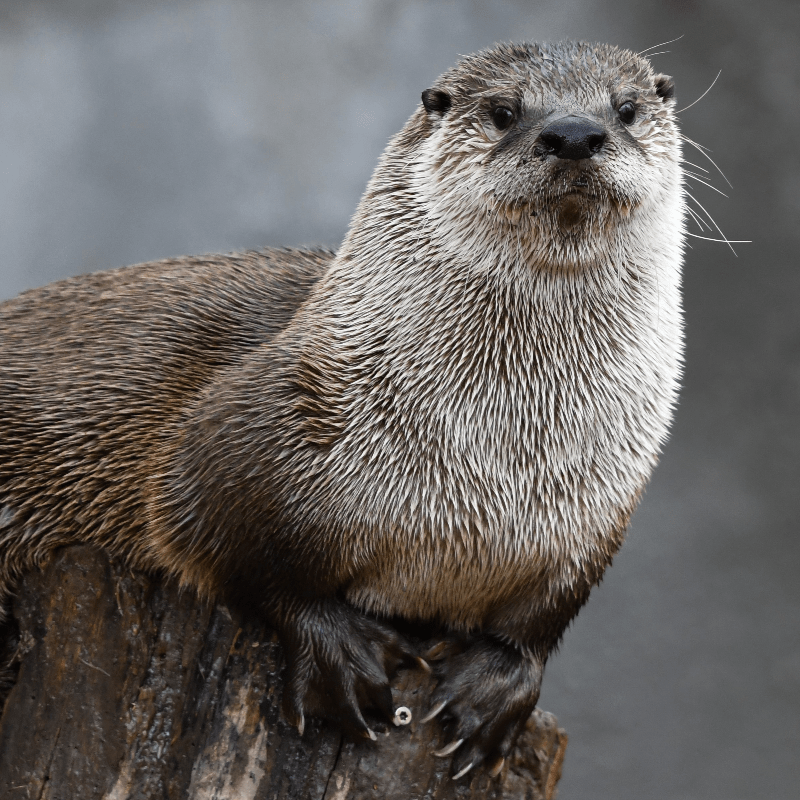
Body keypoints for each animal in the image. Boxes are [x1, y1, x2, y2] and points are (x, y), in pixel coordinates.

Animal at [0, 41, 683, 778]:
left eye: (626, 108)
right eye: (504, 111)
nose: (575, 134)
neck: (489, 462)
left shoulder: (596, 516)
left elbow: (541, 620)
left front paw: (495, 689)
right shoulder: (240, 434)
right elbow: (219, 538)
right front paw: (341, 655)